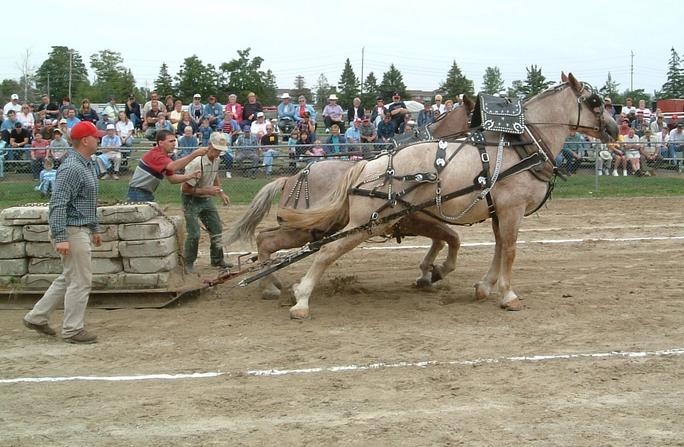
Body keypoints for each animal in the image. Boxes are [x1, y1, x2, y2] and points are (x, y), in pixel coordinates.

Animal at [227, 102, 472, 300]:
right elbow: (450, 237)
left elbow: (443, 239)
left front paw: (427, 274)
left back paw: (272, 281)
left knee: (264, 239)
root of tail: (290, 178)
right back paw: (269, 287)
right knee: (266, 241)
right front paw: (432, 272)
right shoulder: (418, 220)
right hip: (305, 231)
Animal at [278, 72, 620, 318]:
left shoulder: (498, 211)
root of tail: (366, 165)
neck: (520, 146)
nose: (615, 129)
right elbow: (509, 249)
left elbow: (497, 247)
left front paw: (483, 286)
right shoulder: (512, 209)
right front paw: (508, 295)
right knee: (325, 251)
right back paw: (301, 299)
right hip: (370, 222)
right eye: (595, 102)